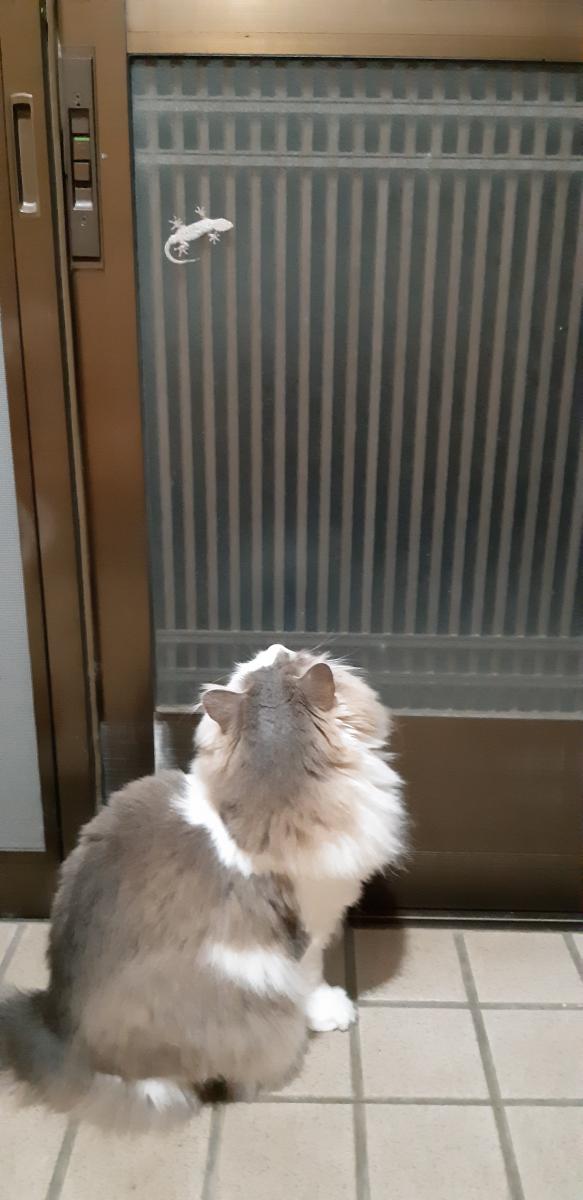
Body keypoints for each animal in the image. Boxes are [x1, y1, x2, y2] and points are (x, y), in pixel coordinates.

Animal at [0, 645, 406, 1129]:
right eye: (284, 658)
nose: (274, 646)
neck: (279, 780)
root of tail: (60, 1037)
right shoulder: (311, 924)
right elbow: (312, 977)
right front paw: (333, 1010)